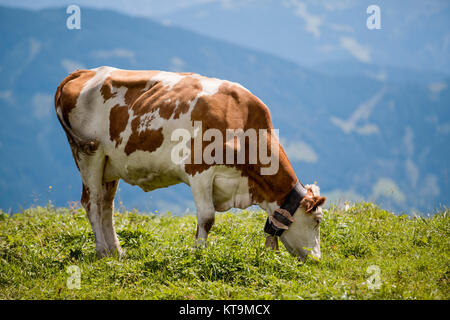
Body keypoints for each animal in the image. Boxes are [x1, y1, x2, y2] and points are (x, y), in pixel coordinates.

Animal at [54, 67, 326, 260]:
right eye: (317, 221)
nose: (316, 259)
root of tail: (85, 72)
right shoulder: (199, 170)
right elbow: (207, 217)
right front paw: (198, 254)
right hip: (88, 153)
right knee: (92, 202)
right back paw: (102, 252)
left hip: (110, 165)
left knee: (106, 206)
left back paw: (116, 252)